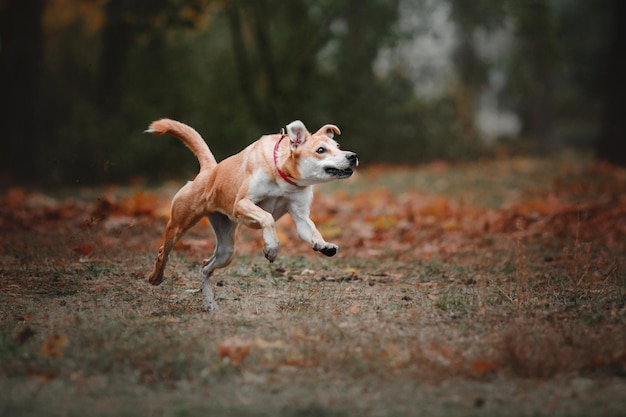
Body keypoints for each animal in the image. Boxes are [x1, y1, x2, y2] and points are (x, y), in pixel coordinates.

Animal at [143, 118, 356, 310]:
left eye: (338, 147)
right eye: (321, 150)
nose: (352, 156)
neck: (282, 173)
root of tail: (210, 171)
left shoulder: (300, 216)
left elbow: (311, 230)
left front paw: (323, 245)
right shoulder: (242, 204)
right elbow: (267, 217)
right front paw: (271, 246)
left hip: (227, 250)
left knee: (205, 267)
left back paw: (209, 304)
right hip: (179, 224)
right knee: (163, 252)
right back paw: (156, 277)